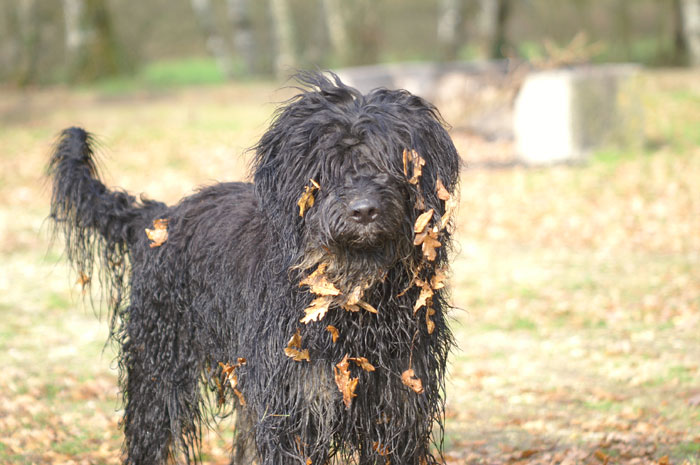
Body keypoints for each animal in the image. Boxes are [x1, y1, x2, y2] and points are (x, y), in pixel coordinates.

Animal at [50, 73, 464, 464]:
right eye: (326, 166)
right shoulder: (296, 407)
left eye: (391, 164)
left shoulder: (398, 405)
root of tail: (160, 218)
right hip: (158, 364)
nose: (363, 211)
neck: (354, 299)